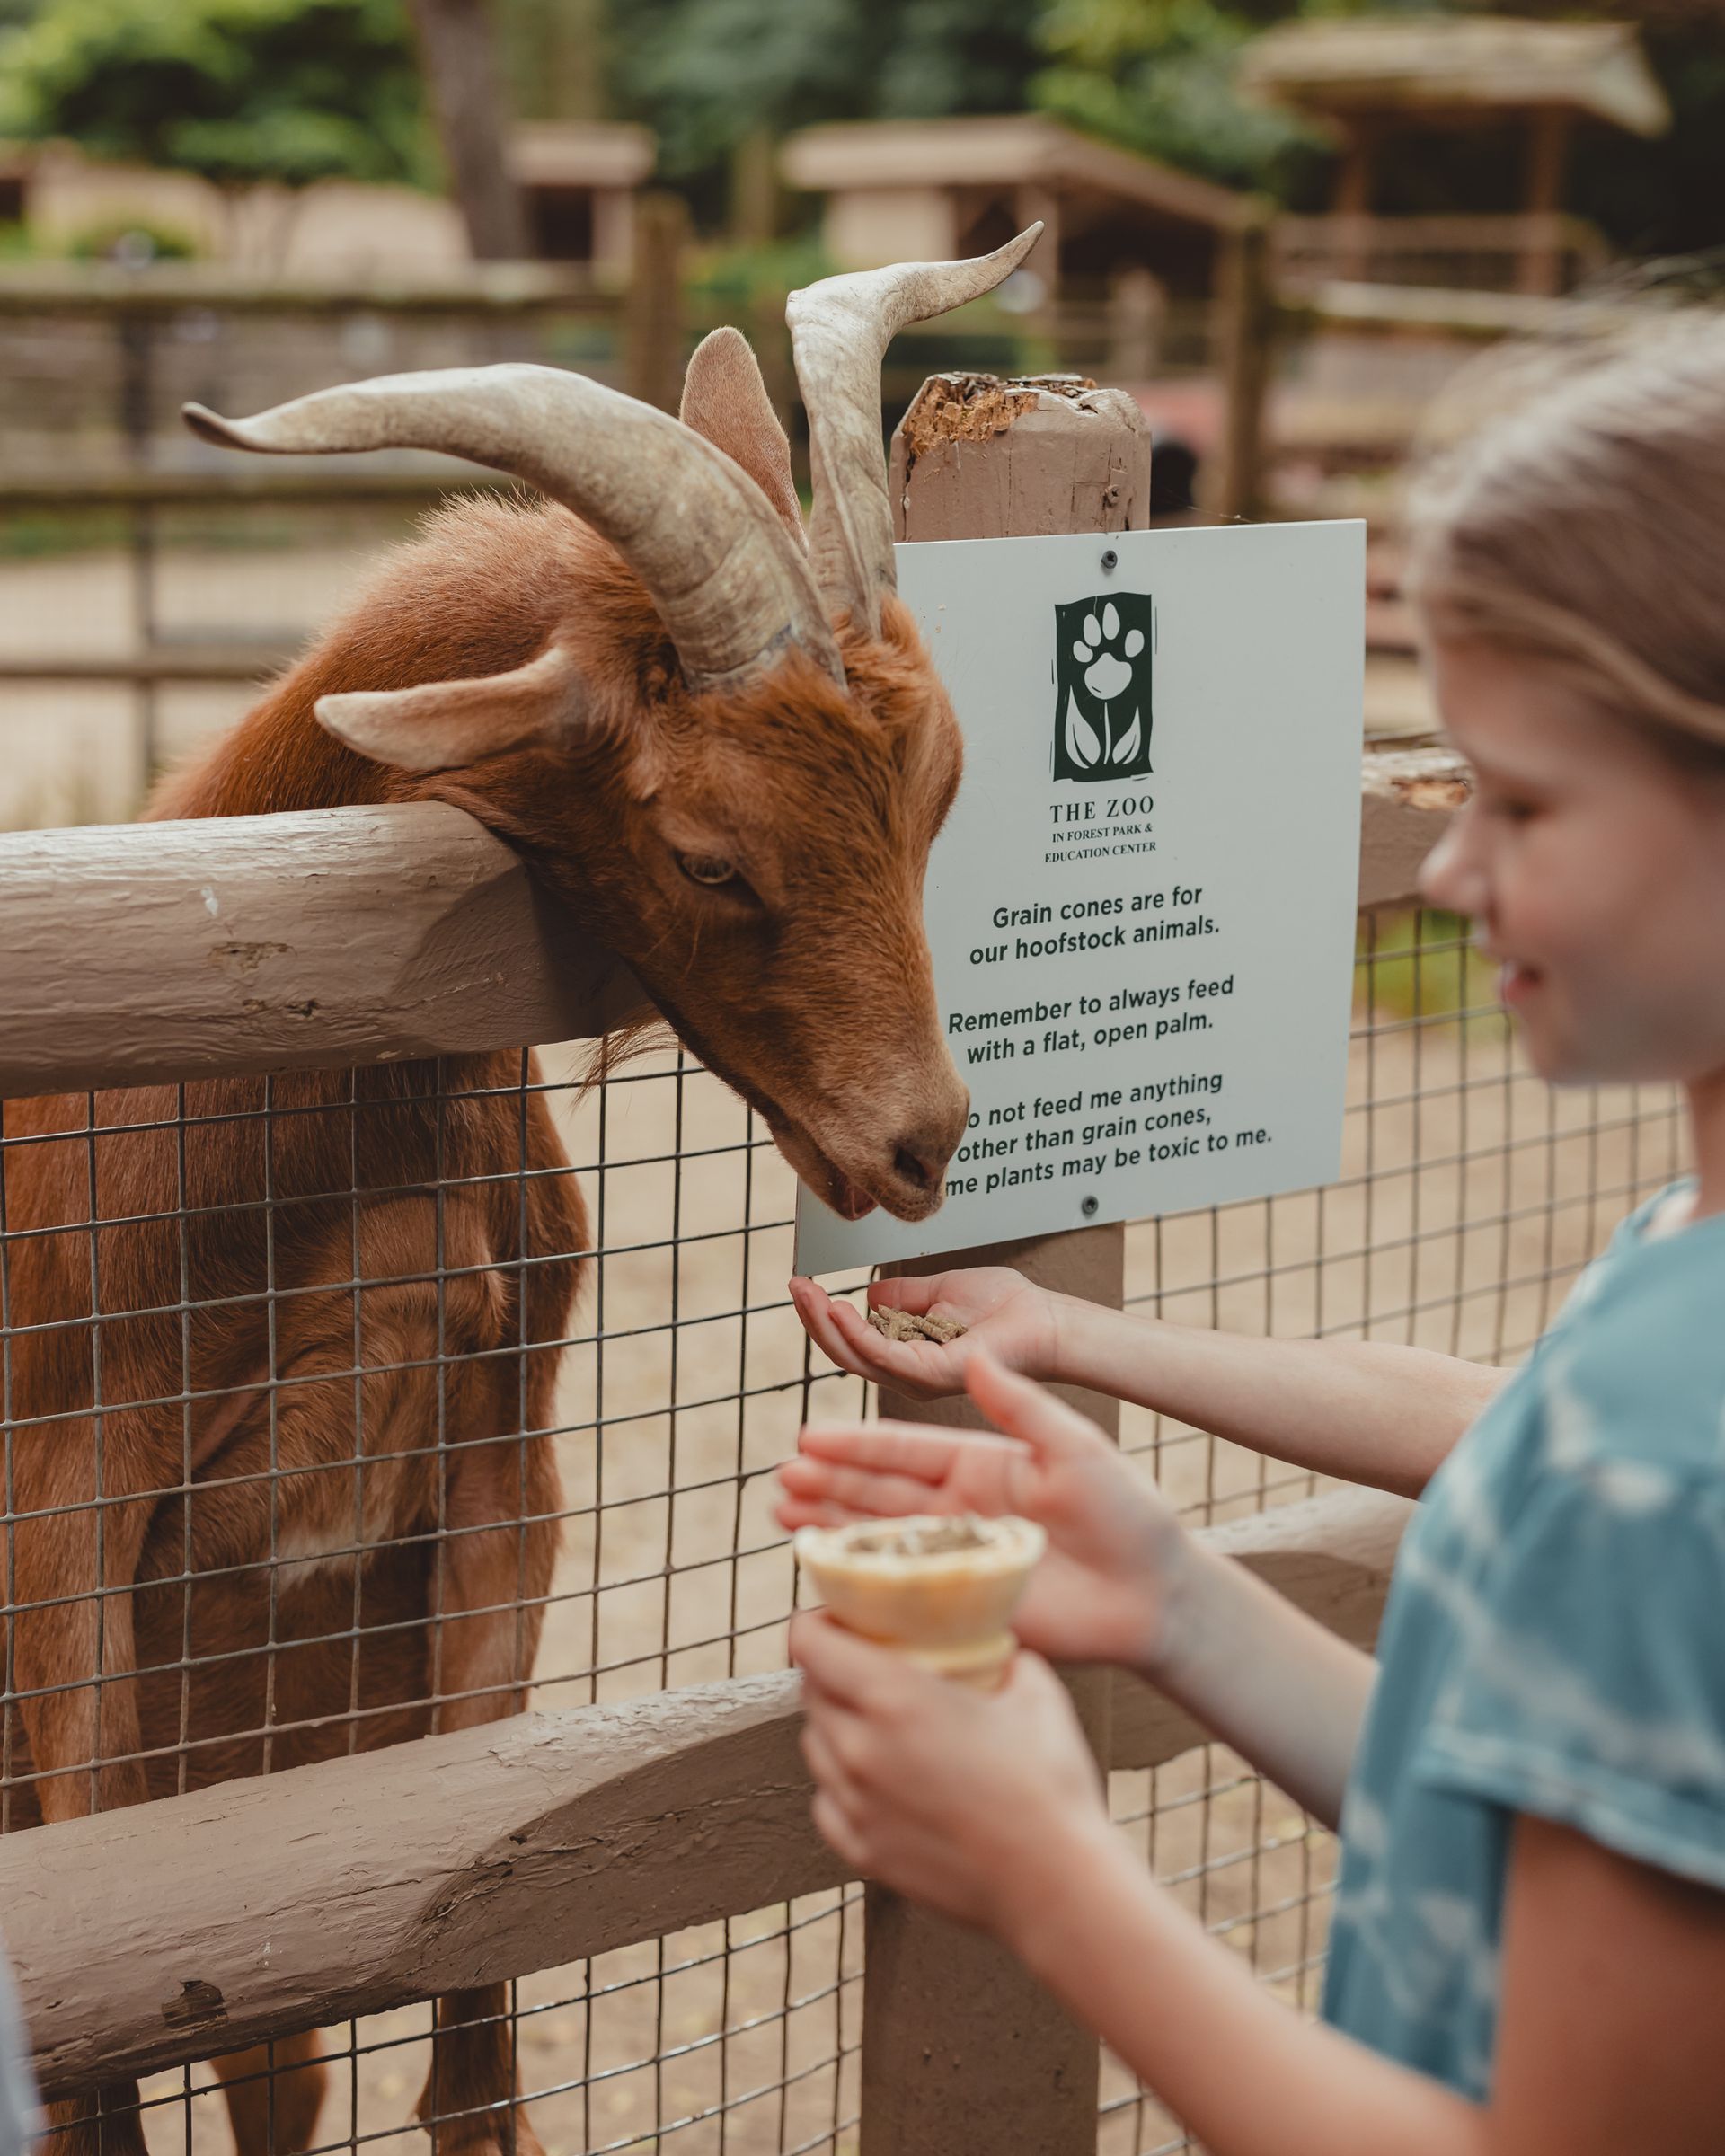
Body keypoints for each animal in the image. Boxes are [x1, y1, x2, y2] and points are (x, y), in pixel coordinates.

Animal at [3, 232, 1039, 2156]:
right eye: (710, 857)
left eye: (936, 792)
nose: (921, 1141)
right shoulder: (59, 1520)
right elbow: (95, 2037)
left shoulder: (498, 1472)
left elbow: (467, 1994)